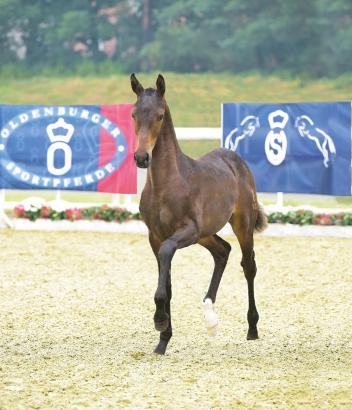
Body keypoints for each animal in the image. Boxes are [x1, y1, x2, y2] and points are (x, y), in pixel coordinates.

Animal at [131, 74, 266, 356]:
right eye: (133, 114)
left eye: (160, 115)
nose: (141, 157)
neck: (166, 184)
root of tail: (234, 158)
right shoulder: (155, 236)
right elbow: (167, 283)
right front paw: (163, 339)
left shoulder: (186, 232)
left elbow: (167, 255)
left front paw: (159, 320)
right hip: (206, 233)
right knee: (222, 251)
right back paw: (210, 318)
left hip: (241, 224)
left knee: (248, 265)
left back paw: (252, 328)